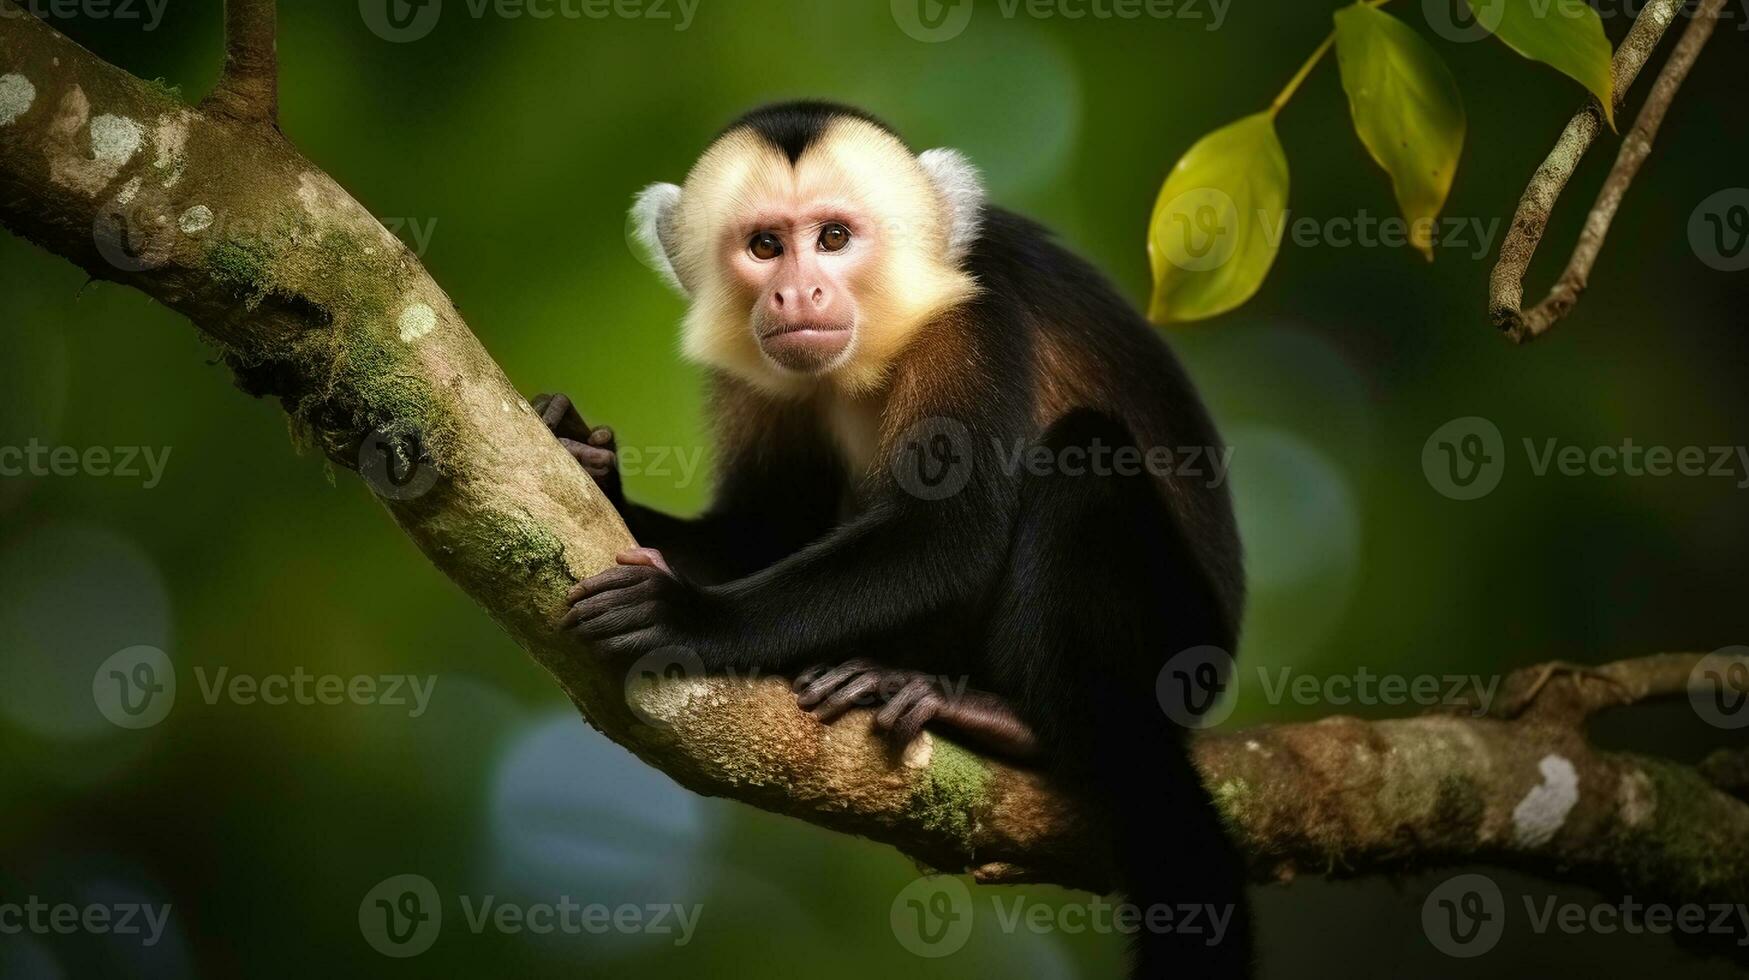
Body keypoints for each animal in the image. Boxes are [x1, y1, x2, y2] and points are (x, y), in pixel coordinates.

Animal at [538, 101, 1252, 980]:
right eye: (765, 246)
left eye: (834, 238)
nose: (797, 291)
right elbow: (761, 533)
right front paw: (588, 460)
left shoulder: (972, 320)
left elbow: (948, 535)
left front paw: (689, 619)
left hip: (1178, 649)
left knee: (1084, 464)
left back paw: (1005, 719)